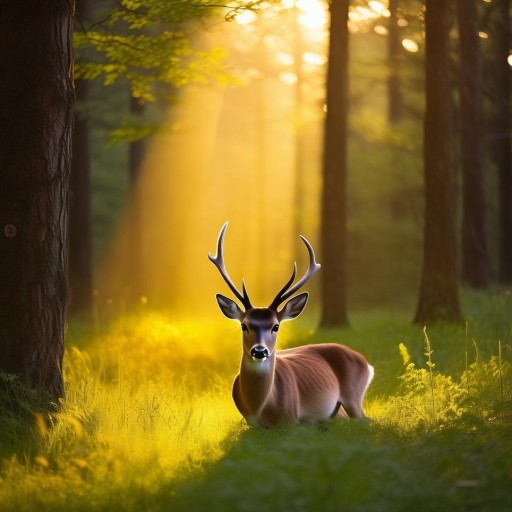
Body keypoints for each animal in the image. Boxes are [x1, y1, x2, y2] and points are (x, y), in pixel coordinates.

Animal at [208, 224, 372, 428]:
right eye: (244, 325)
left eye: (276, 326)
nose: (259, 351)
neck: (260, 408)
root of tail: (365, 361)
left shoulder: (291, 420)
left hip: (353, 395)